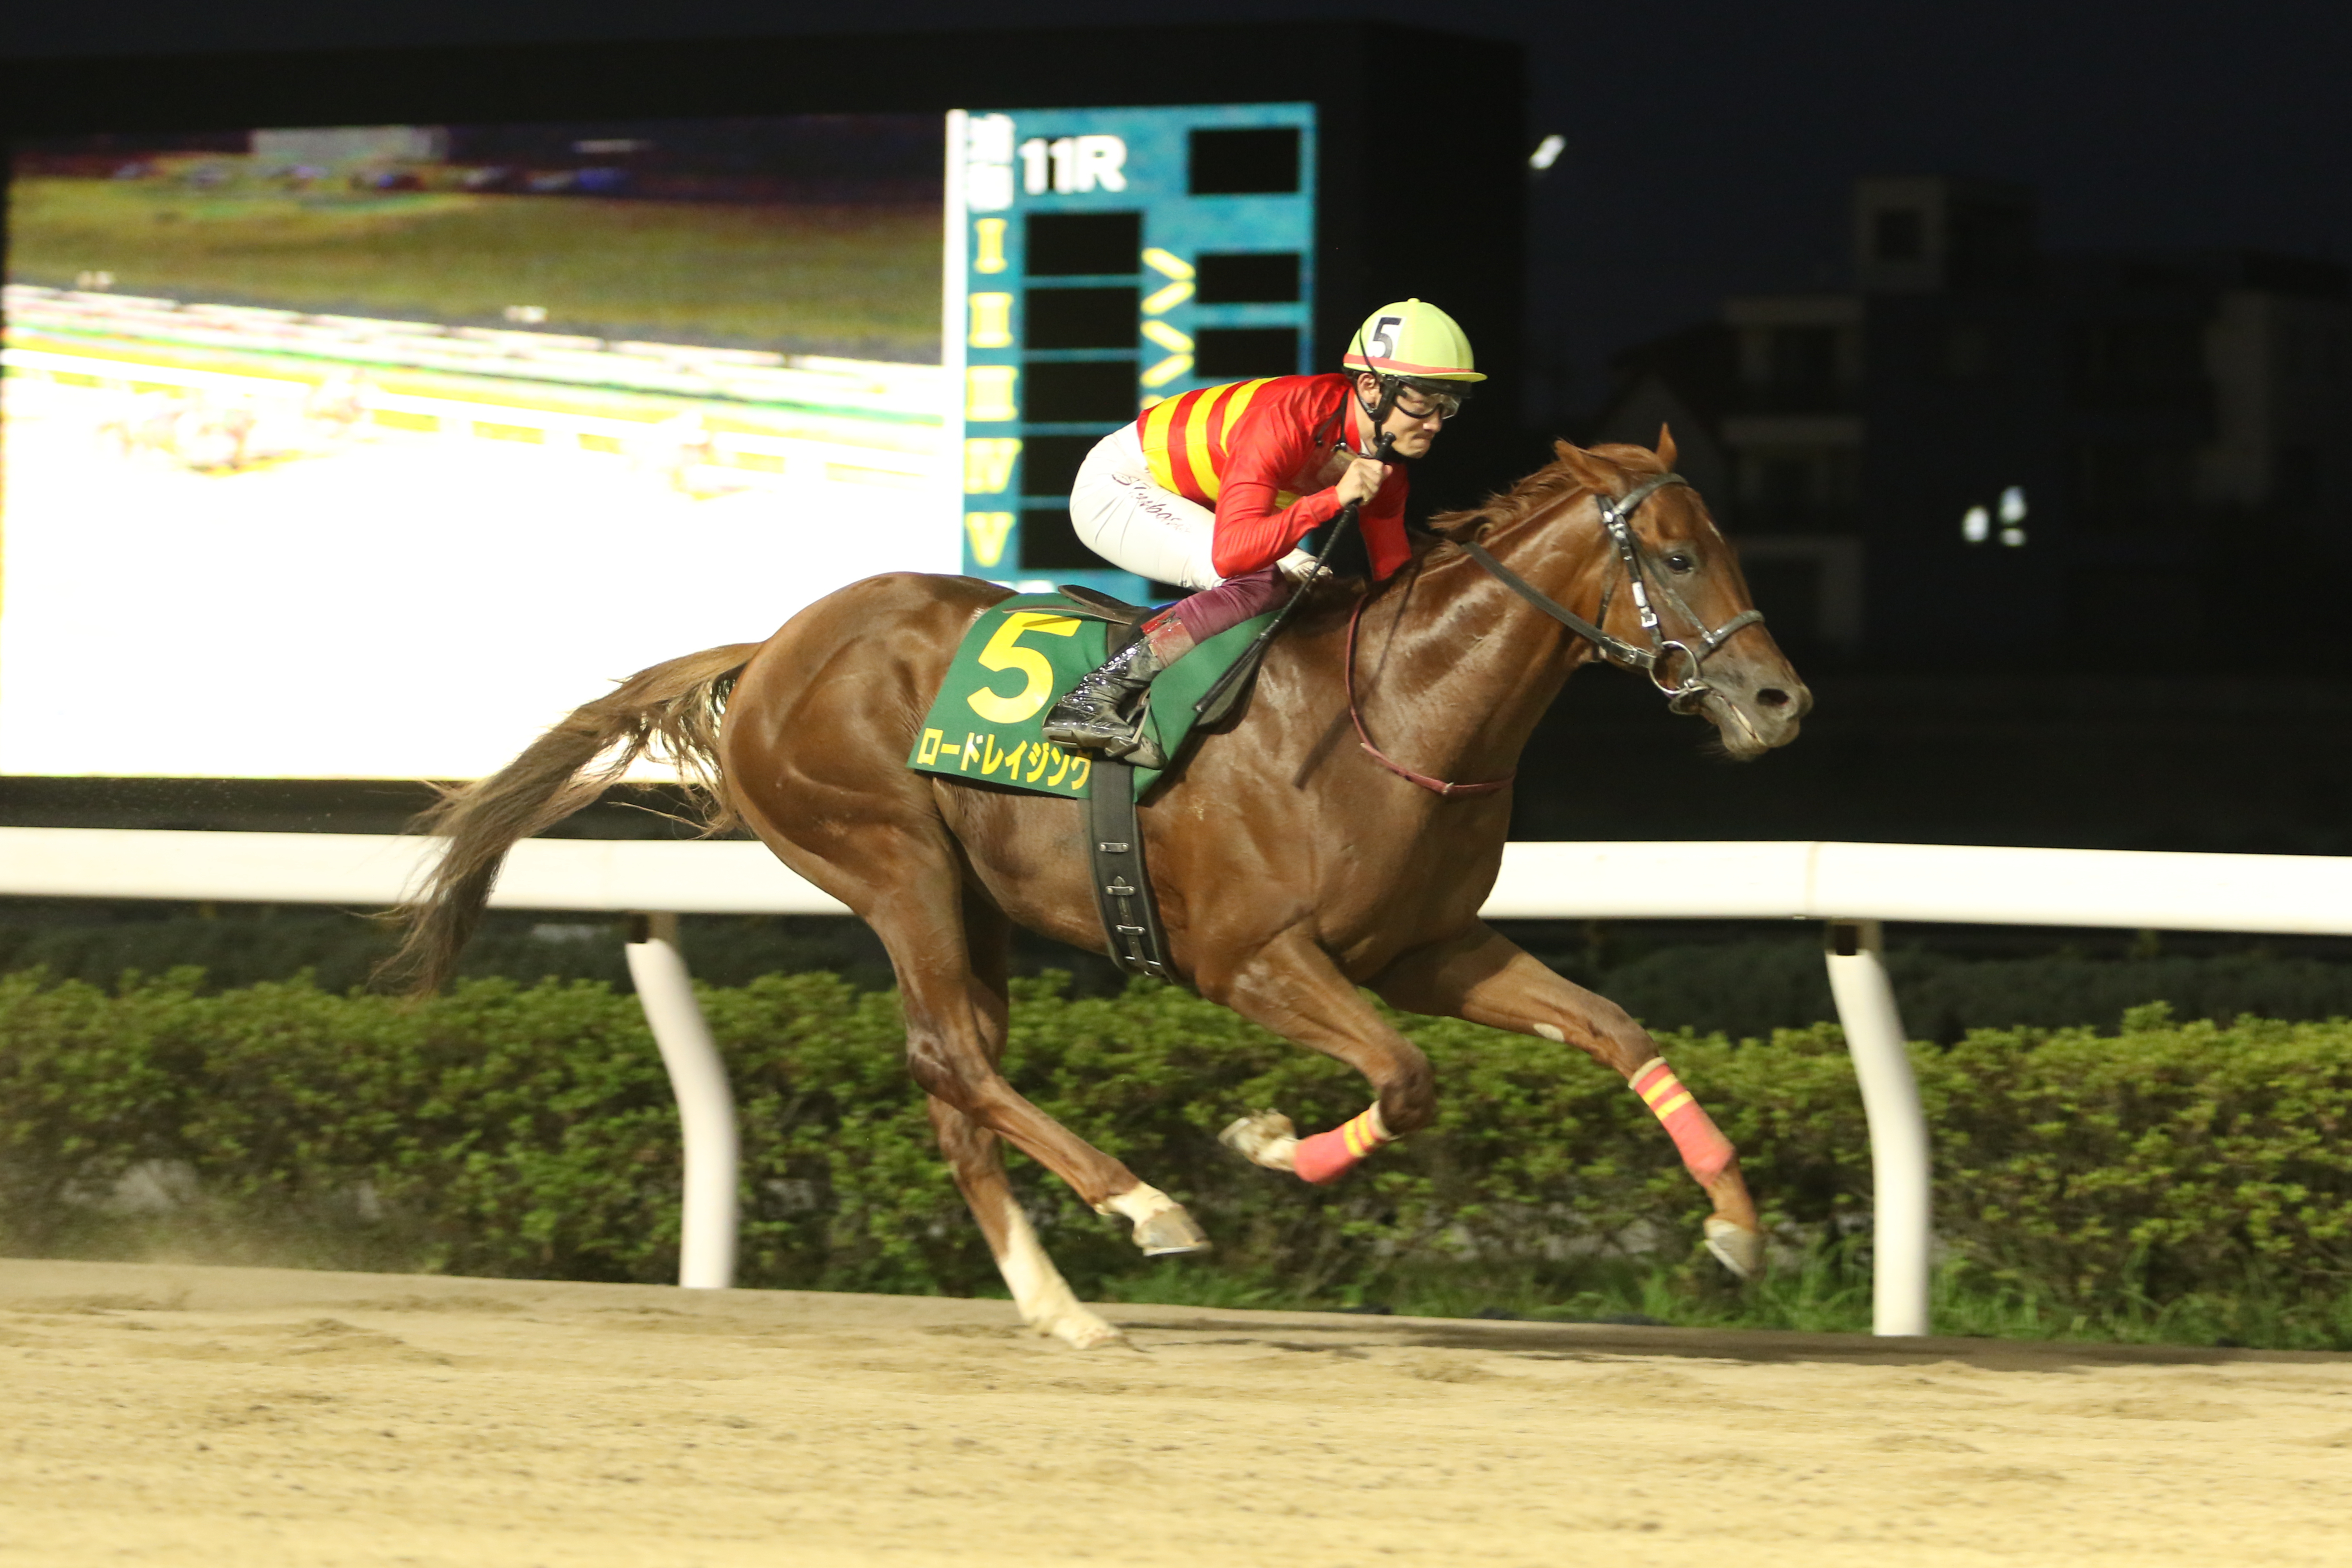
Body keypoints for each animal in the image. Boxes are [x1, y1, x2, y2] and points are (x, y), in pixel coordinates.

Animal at [386, 430, 1811, 1348]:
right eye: (1672, 557)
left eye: (1727, 544)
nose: (1775, 700)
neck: (1397, 711)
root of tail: (774, 647)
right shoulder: (1251, 958)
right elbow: (1405, 1081)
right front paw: (1257, 1145)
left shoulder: (1427, 949)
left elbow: (1612, 1027)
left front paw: (1738, 1228)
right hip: (889, 856)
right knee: (949, 1056)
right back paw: (1140, 1205)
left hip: (968, 904)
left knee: (954, 1079)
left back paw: (1056, 1304)